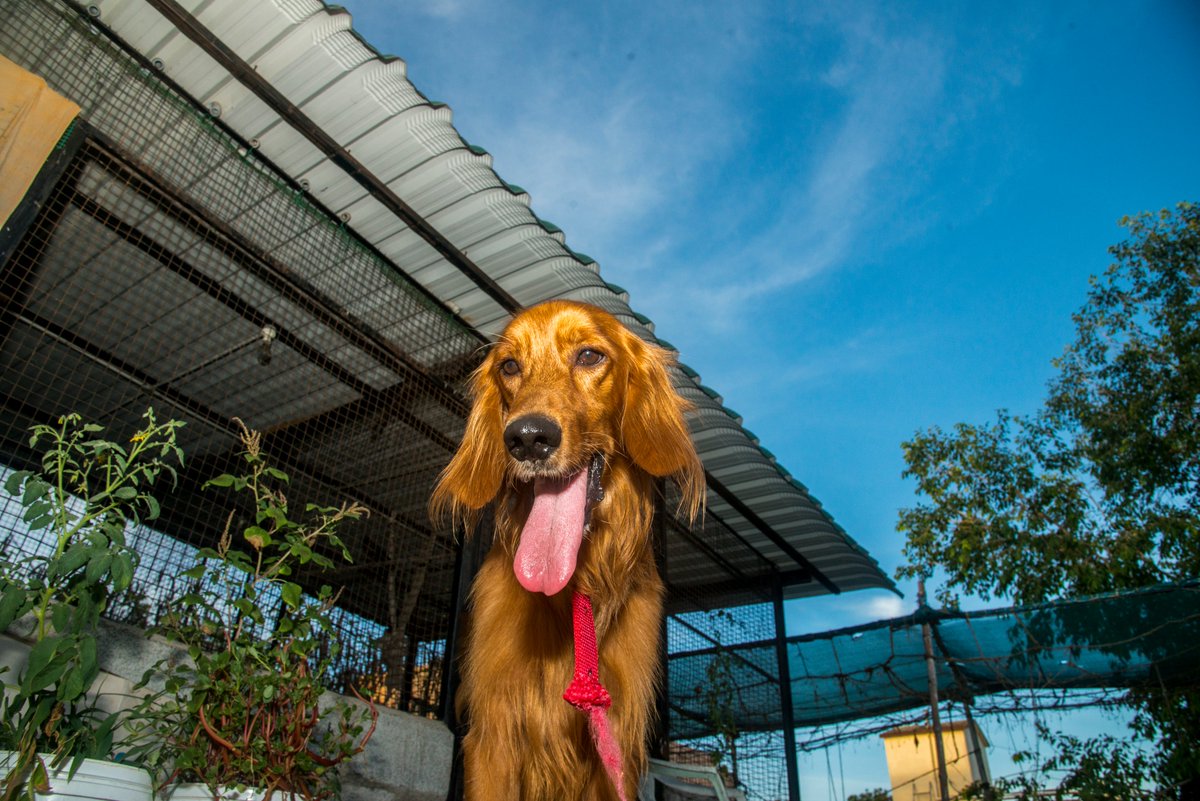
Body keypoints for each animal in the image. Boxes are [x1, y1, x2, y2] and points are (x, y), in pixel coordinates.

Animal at [434, 299, 700, 801]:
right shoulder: (492, 736)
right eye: (509, 366)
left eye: (590, 356)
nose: (527, 437)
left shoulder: (615, 749)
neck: (575, 588)